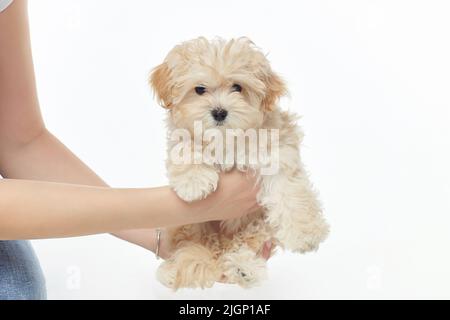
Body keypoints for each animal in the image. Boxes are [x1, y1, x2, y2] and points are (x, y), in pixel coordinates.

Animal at [149, 37, 328, 290]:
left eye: (237, 87)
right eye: (199, 89)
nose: (219, 112)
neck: (226, 138)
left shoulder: (278, 152)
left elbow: (290, 192)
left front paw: (305, 233)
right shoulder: (181, 133)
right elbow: (185, 147)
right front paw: (193, 183)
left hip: (259, 224)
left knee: (247, 242)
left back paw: (244, 267)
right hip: (189, 224)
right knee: (193, 245)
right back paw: (174, 269)